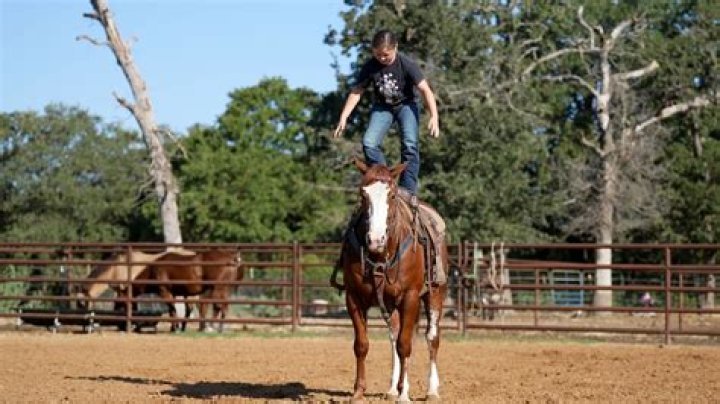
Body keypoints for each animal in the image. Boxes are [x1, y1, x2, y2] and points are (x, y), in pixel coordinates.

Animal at [339, 160, 448, 402]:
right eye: (363, 194)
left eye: (391, 195)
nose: (375, 239)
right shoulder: (353, 297)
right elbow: (362, 345)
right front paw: (358, 392)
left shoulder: (410, 298)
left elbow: (405, 345)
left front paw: (404, 394)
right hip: (389, 305)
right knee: (394, 337)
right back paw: (391, 389)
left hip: (436, 294)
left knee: (431, 338)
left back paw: (432, 390)